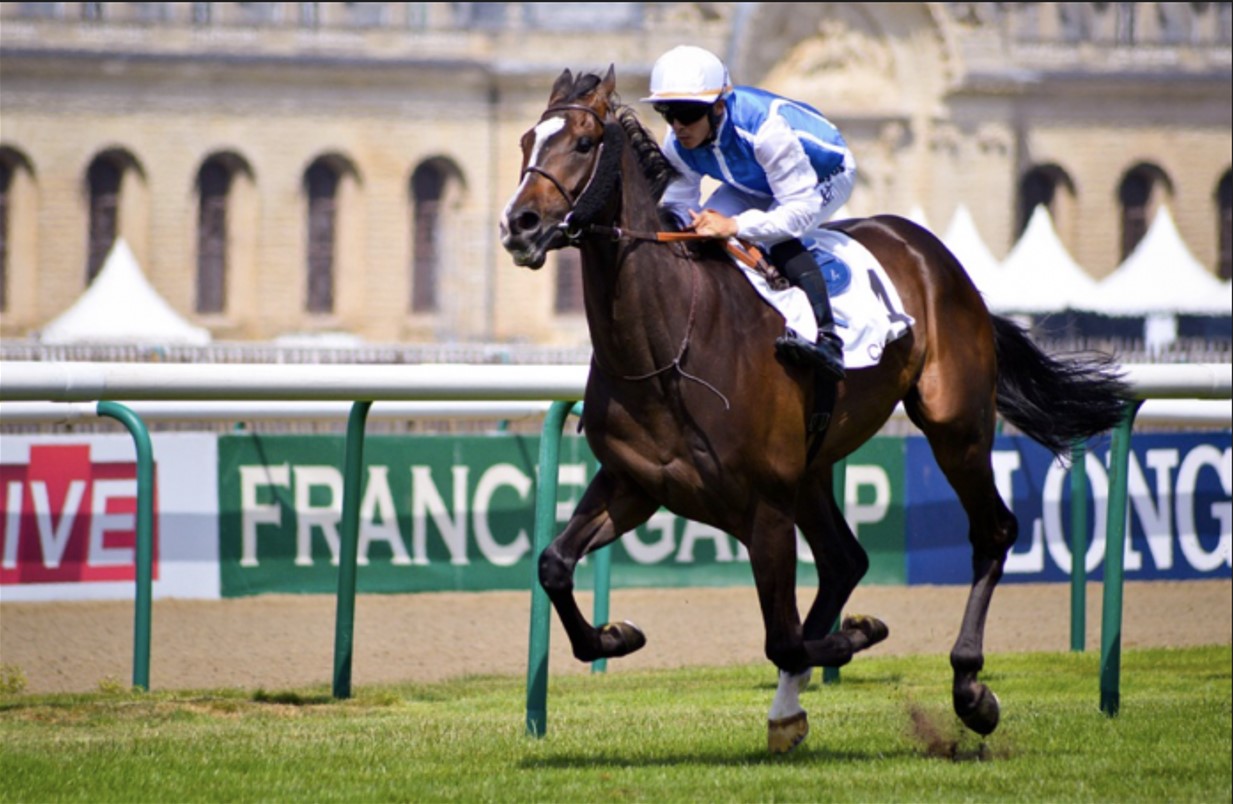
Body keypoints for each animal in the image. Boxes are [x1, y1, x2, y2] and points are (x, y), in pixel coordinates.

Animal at [499, 66, 1130, 753]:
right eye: (527, 139)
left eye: (584, 143)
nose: (519, 224)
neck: (669, 347)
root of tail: (939, 258)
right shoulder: (634, 484)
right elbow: (554, 565)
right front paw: (616, 634)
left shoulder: (764, 505)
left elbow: (783, 637)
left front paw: (858, 636)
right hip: (814, 464)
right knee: (844, 559)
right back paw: (790, 710)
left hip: (955, 425)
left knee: (991, 532)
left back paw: (969, 690)